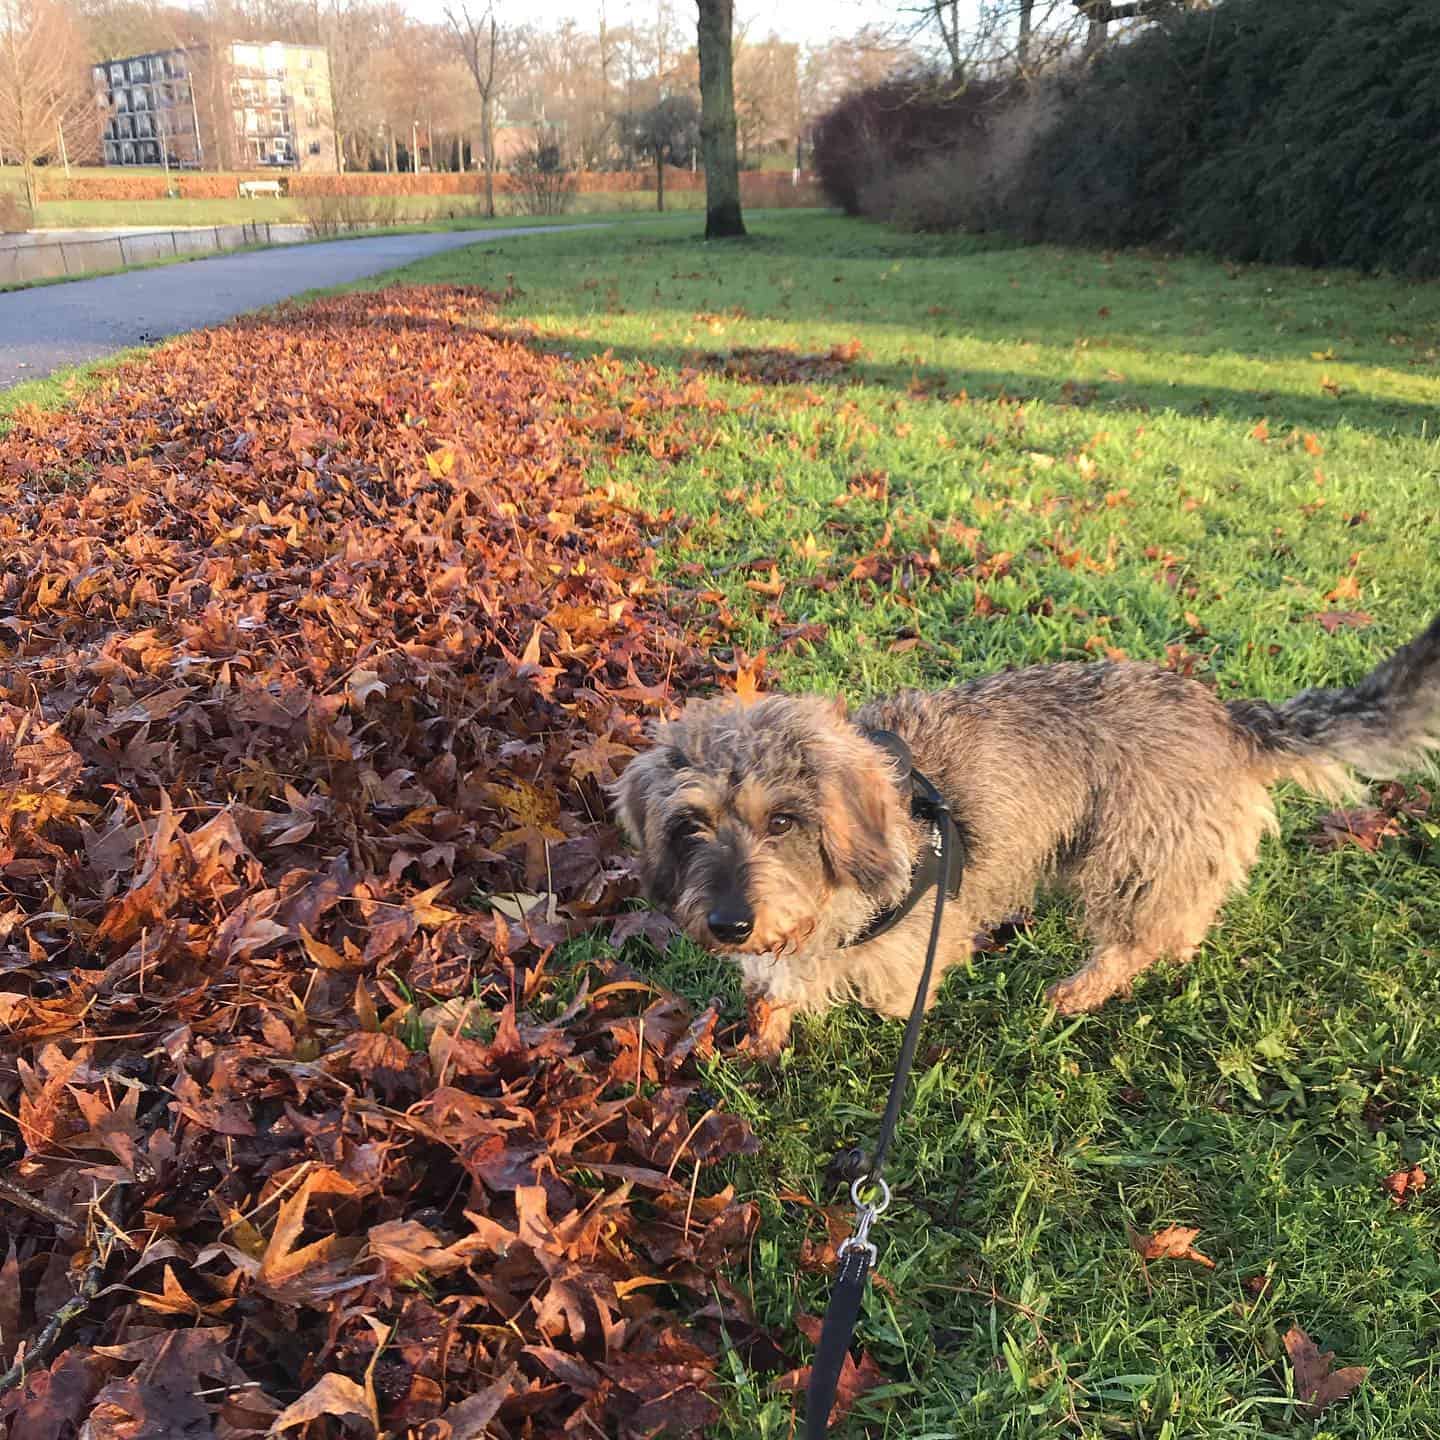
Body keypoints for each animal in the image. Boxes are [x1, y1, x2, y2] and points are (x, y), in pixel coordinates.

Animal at [610, 610, 1440, 1059]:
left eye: (782, 821)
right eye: (689, 825)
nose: (728, 923)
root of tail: (1226, 716)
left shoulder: (914, 948)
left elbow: (885, 995)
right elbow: (776, 990)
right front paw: (761, 1039)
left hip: (1130, 858)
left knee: (1135, 938)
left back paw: (1078, 991)